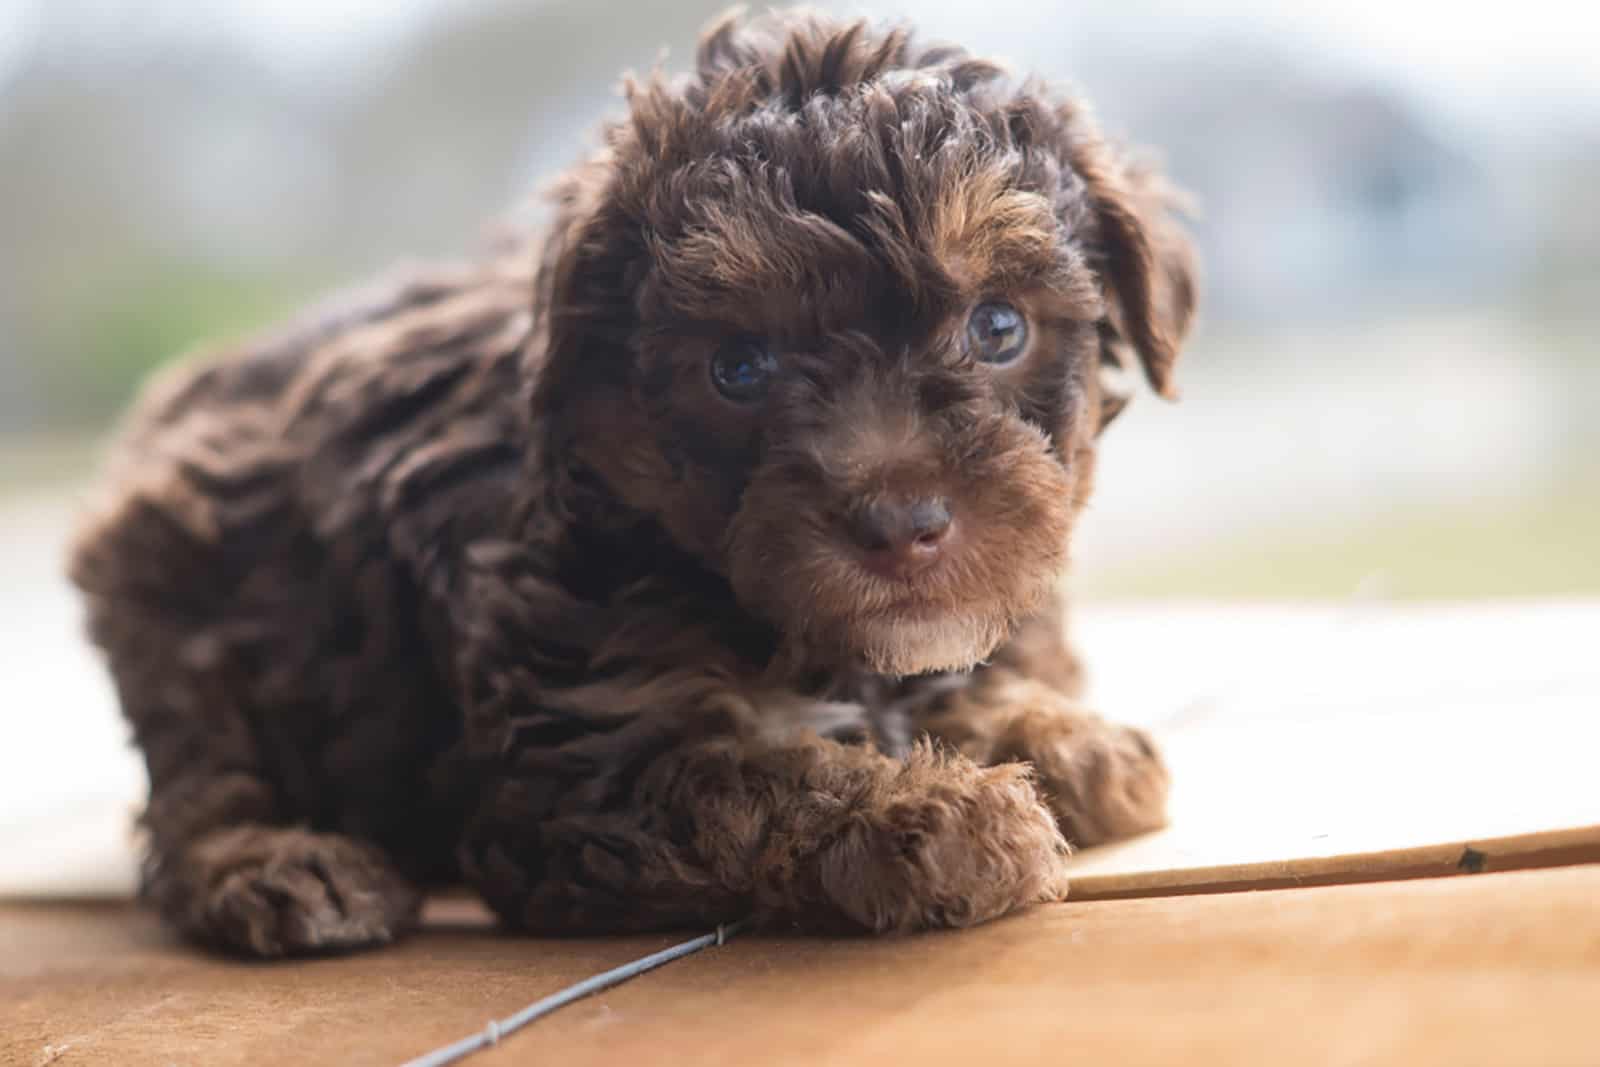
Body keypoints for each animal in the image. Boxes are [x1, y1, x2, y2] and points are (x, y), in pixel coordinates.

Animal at [68, 8, 1196, 959]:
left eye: (997, 327)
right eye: (737, 368)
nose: (899, 522)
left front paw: (1061, 738)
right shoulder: (574, 767)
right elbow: (754, 782)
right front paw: (937, 818)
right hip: (178, 596)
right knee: (202, 783)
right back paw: (279, 864)